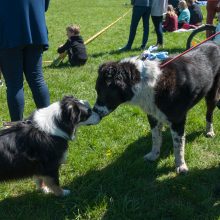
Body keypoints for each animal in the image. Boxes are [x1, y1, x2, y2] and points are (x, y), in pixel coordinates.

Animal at [92, 41, 220, 174]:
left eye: (101, 91)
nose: (94, 111)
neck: (142, 82)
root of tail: (214, 42)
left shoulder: (177, 120)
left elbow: (178, 145)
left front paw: (181, 165)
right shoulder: (153, 115)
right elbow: (156, 138)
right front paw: (154, 155)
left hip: (212, 95)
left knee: (209, 114)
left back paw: (209, 131)